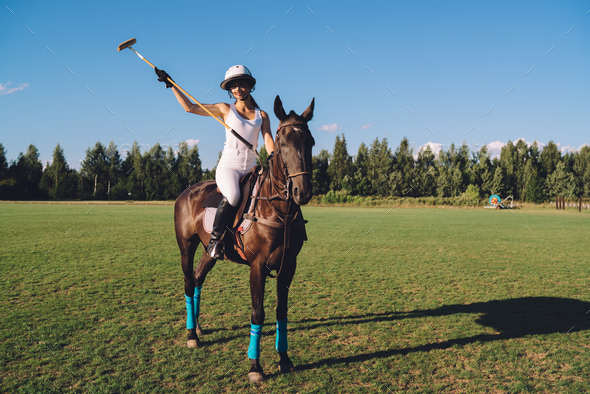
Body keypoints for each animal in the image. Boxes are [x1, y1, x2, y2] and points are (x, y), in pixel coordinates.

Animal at [173, 95, 316, 382]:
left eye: (311, 142)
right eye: (282, 142)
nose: (302, 191)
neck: (279, 210)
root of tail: (186, 191)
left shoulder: (289, 265)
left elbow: (281, 311)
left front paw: (285, 359)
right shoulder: (257, 266)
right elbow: (258, 313)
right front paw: (255, 367)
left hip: (209, 250)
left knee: (198, 277)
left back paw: (199, 328)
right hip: (186, 245)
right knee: (188, 282)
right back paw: (192, 335)